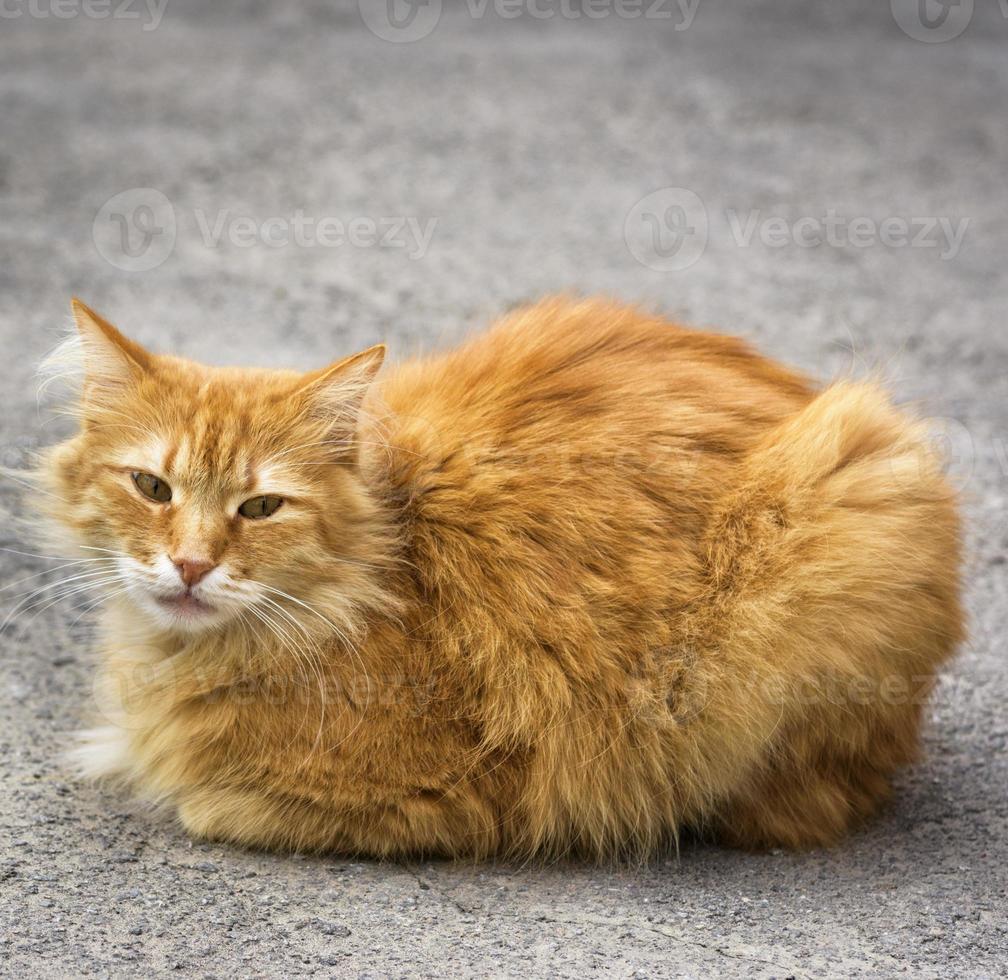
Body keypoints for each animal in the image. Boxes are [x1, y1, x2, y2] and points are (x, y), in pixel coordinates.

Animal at [31, 298, 959, 859]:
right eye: (152, 488)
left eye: (260, 507)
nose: (191, 564)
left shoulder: (469, 794)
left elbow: (210, 804)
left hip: (848, 494)